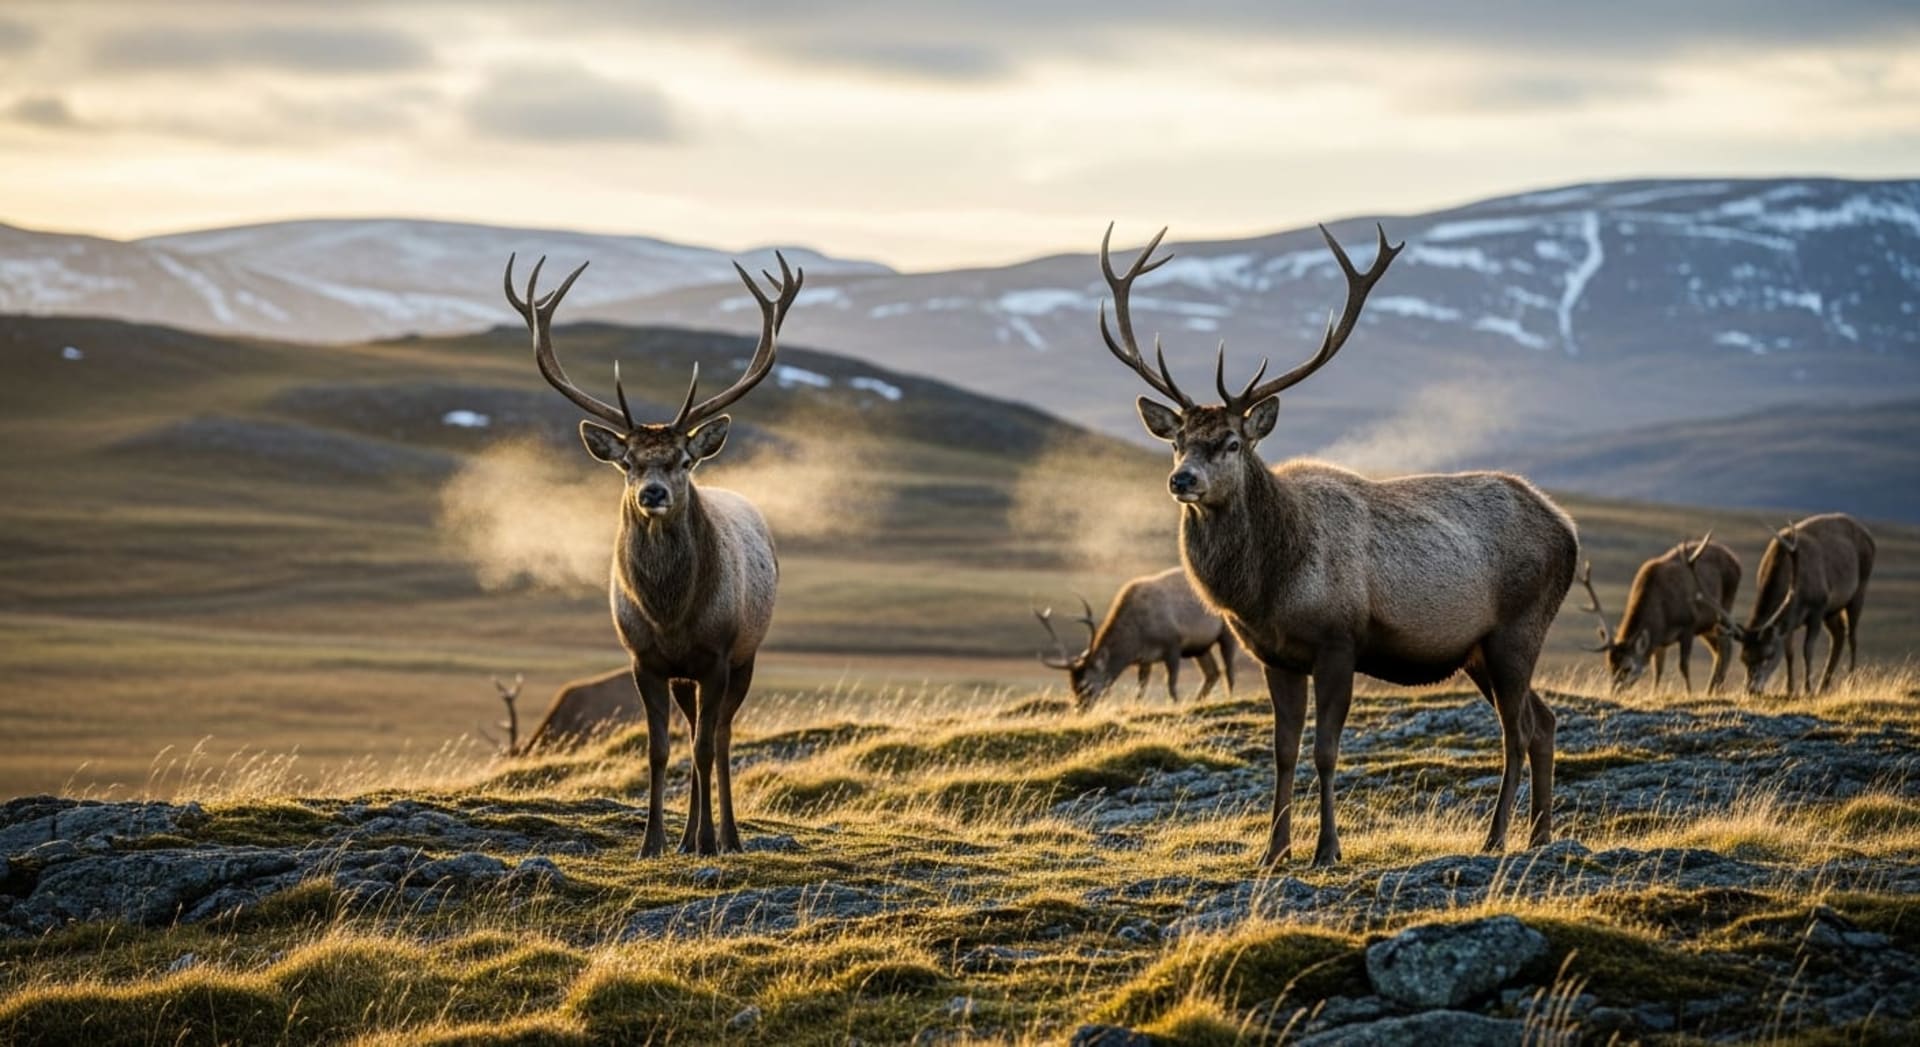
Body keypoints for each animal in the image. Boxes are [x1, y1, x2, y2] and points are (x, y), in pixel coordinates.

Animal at [503, 250, 800, 856]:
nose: (653, 494)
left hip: (746, 656)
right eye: (629, 463)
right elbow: (659, 749)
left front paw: (708, 840)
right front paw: (653, 842)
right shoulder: (644, 660)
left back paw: (727, 837)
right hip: (685, 678)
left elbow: (707, 747)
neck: (670, 615)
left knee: (722, 736)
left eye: (684, 460)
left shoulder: (716, 654)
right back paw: (687, 838)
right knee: (693, 733)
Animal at [1033, 567, 1238, 709]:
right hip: (1201, 647)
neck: (1137, 638)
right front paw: (1137, 705)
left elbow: (1171, 684)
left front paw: (1176, 704)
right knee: (1212, 673)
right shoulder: (1144, 658)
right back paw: (1198, 701)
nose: (1081, 709)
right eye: (1072, 685)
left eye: (1087, 684)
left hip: (1227, 633)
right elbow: (1141, 687)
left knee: (1229, 669)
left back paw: (1229, 698)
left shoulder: (1173, 643)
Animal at [1093, 223, 1578, 866]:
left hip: (1518, 628)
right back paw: (1539, 833)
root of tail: (1569, 530)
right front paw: (1273, 850)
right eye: (1178, 442)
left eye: (1231, 443)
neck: (1267, 587)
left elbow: (1326, 750)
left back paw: (1497, 835)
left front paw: (1327, 849)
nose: (1182, 480)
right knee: (1542, 720)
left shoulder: (1338, 641)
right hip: (1478, 649)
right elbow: (1283, 751)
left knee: (1516, 730)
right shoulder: (1274, 655)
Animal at [1576, 533, 1741, 694]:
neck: (1661, 615)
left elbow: (1683, 666)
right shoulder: (1659, 640)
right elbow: (1658, 671)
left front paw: (1688, 693)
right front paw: (1653, 694)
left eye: (1628, 667)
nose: (1614, 691)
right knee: (1719, 650)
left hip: (1725, 606)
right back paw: (1714, 689)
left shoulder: (1689, 624)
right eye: (1610, 665)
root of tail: (1736, 561)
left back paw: (1715, 688)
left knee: (1726, 645)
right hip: (1707, 626)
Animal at [1702, 515, 1876, 697]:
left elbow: (1807, 650)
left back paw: (1851, 682)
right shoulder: (1789, 621)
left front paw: (1807, 689)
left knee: (1852, 636)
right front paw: (1790, 689)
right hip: (1832, 610)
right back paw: (1823, 687)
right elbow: (1789, 653)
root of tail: (1869, 537)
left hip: (1860, 587)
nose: (1751, 690)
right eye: (1743, 658)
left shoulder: (1818, 606)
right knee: (1839, 635)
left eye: (1768, 655)